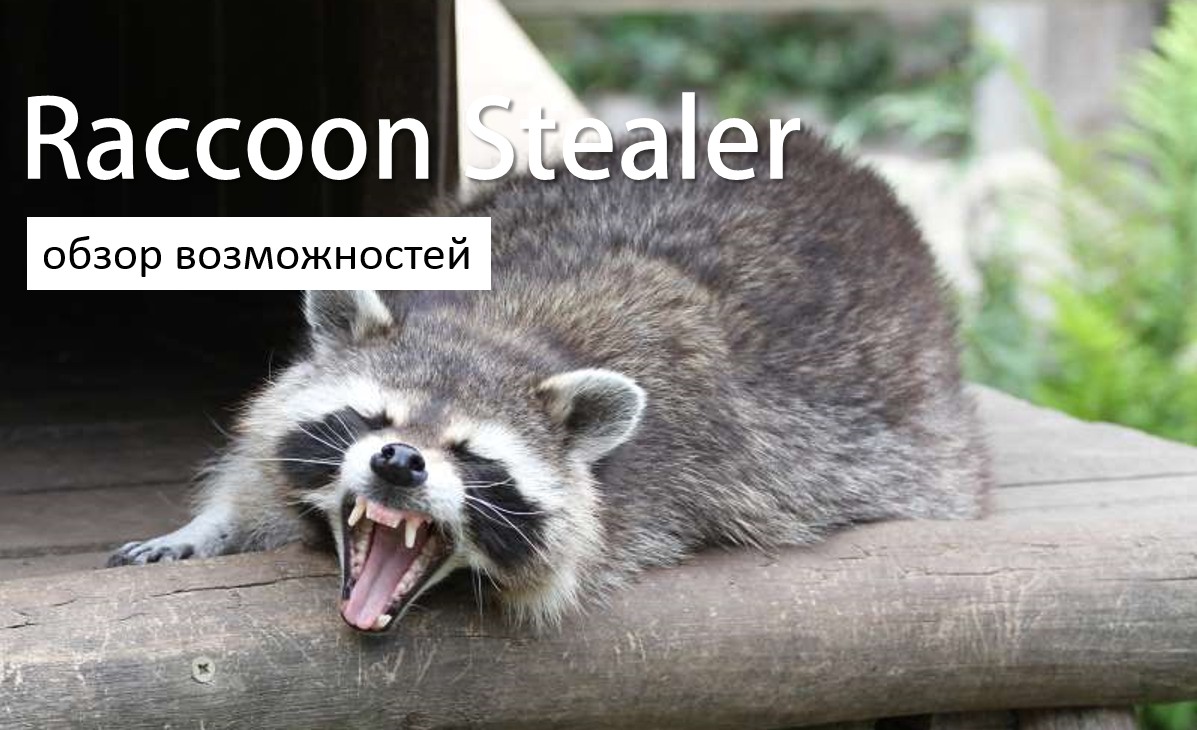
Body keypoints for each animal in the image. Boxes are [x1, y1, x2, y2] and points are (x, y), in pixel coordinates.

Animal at [108, 127, 989, 632]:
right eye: (373, 420)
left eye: (471, 455)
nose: (399, 463)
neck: (493, 328)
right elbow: (257, 459)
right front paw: (214, 523)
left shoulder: (680, 481)